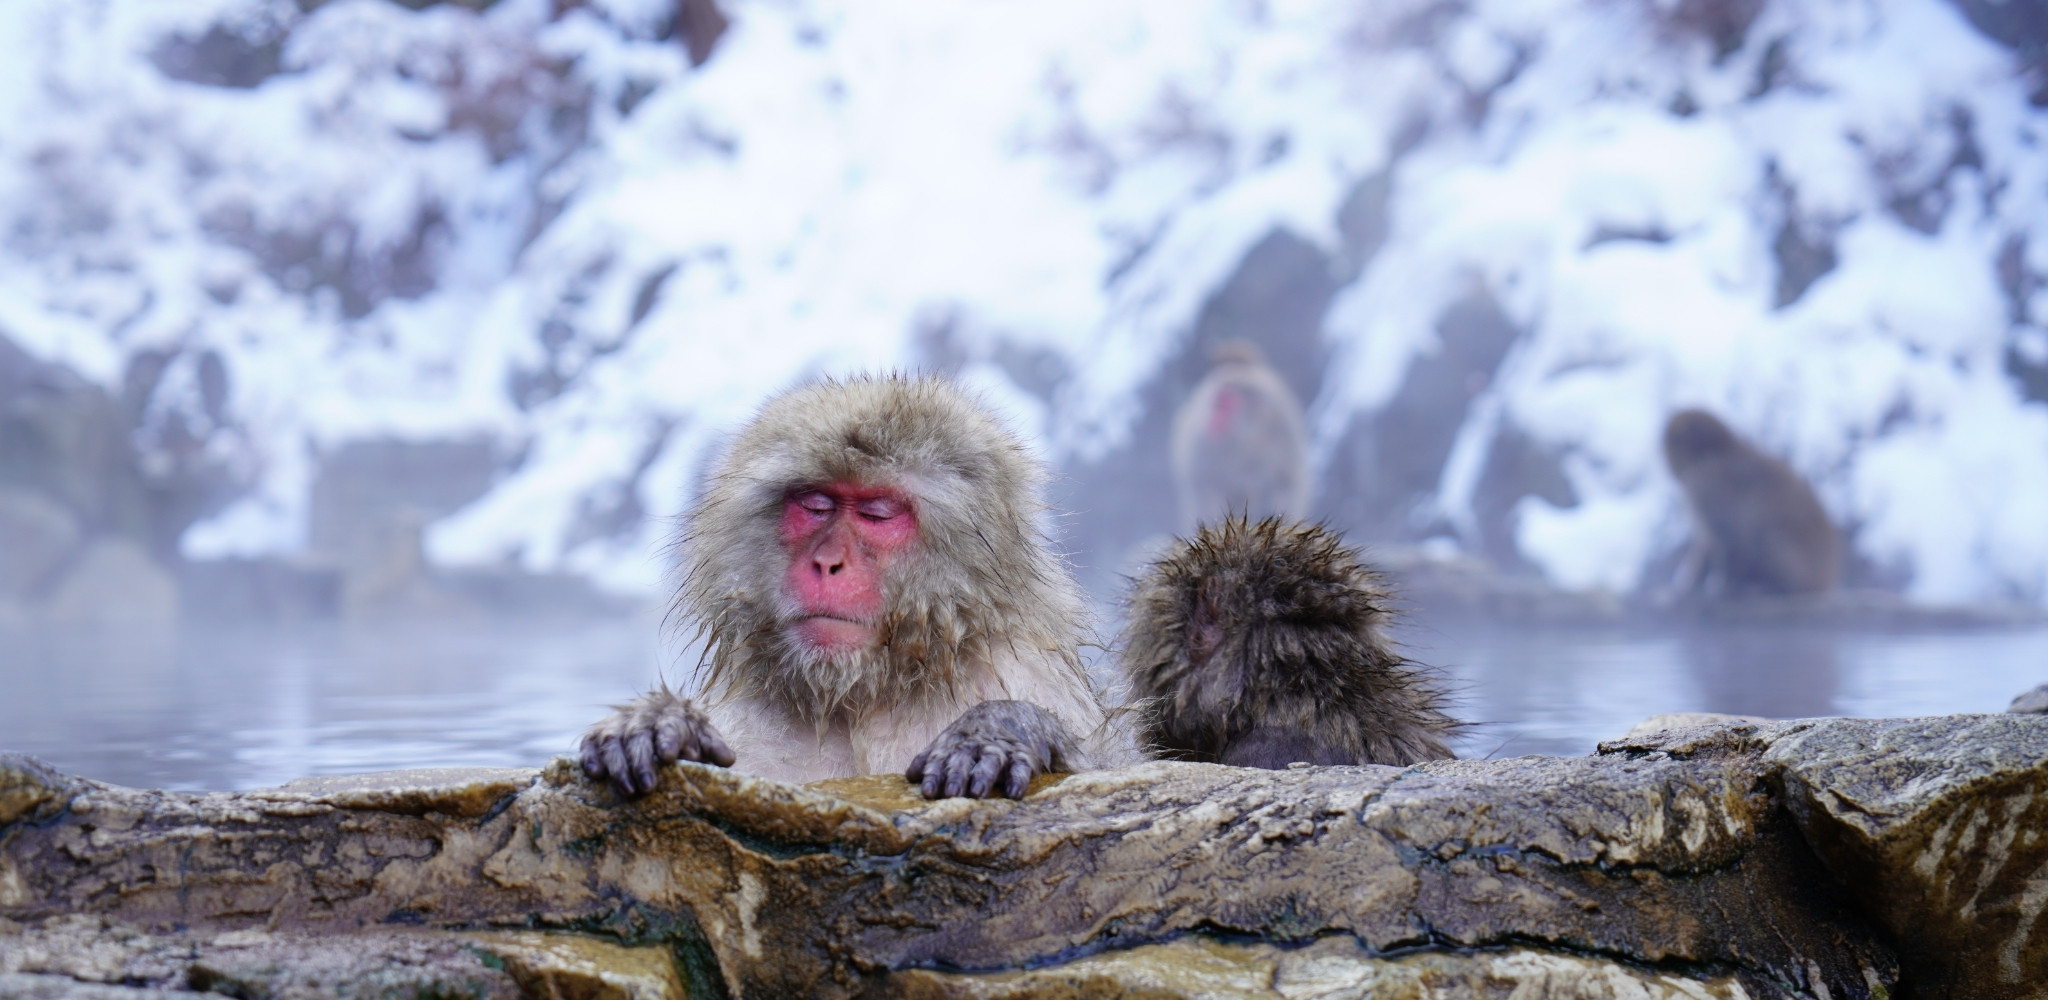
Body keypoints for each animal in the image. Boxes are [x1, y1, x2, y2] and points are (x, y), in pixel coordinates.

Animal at [579, 374, 1109, 800]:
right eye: (816, 504)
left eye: (877, 512)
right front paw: (658, 723)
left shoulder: (1027, 672)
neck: (863, 695)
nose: (827, 562)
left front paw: (999, 730)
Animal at [1170, 340, 1312, 532]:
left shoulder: (1284, 430)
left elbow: (1286, 481)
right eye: (1217, 403)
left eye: (1227, 404)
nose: (1213, 420)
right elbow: (1205, 488)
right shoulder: (1205, 448)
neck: (1251, 438)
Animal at [1662, 409, 1841, 597]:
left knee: (1762, 533)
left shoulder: (1704, 489)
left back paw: (1766, 585)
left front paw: (1722, 586)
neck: (1716, 452)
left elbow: (1731, 537)